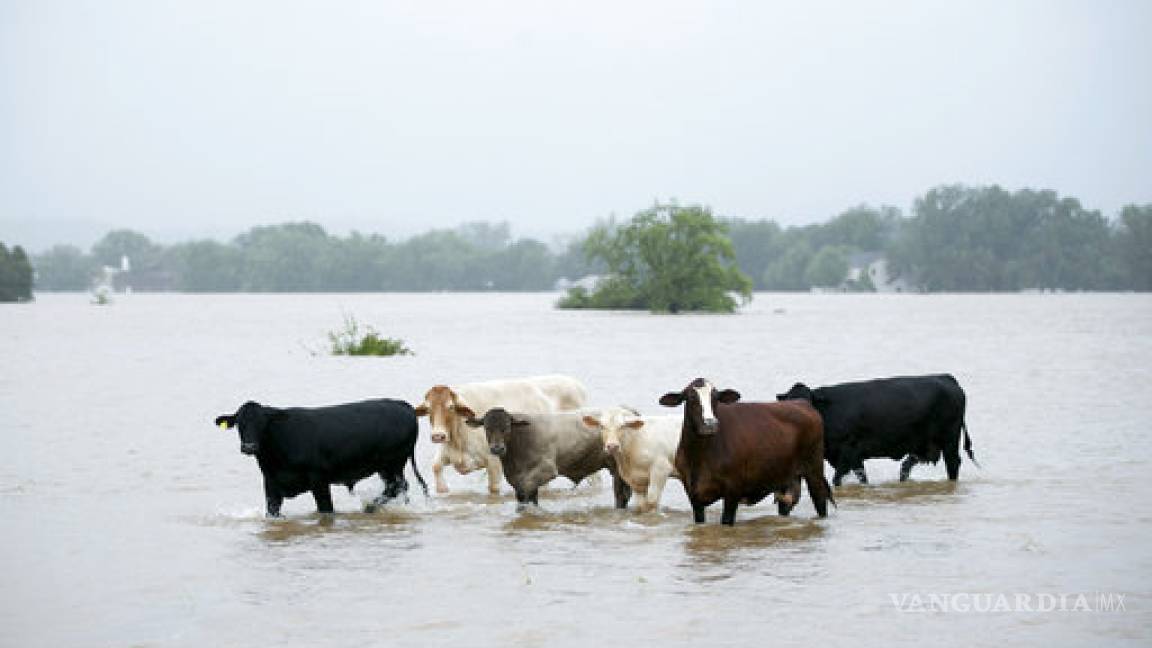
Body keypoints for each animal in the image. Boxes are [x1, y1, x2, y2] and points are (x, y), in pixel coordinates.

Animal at [214, 394, 426, 514]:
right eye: (239, 423)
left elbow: (326, 510)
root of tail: (402, 404)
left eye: (263, 423)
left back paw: (368, 508)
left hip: (392, 463)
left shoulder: (319, 480)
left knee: (397, 487)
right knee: (399, 488)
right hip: (389, 467)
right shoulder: (271, 485)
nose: (249, 446)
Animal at [414, 375, 589, 491]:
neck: (458, 440)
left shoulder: (494, 463)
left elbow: (493, 489)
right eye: (428, 408)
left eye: (450, 407)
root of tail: (574, 383)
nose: (438, 435)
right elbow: (437, 469)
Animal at [465, 405, 631, 507]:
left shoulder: (543, 471)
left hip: (619, 471)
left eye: (506, 428)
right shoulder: (518, 478)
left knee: (621, 496)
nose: (497, 448)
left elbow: (527, 498)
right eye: (486, 428)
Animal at [663, 375, 834, 521]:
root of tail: (802, 403)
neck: (699, 456)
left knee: (820, 501)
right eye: (691, 397)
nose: (710, 424)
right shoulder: (693, 493)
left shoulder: (733, 490)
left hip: (814, 470)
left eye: (716, 398)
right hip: (786, 478)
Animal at [778, 373, 976, 484]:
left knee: (953, 463)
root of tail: (946, 377)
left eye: (808, 402)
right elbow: (861, 477)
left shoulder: (847, 450)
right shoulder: (852, 456)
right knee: (906, 466)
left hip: (950, 439)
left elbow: (837, 479)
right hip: (924, 445)